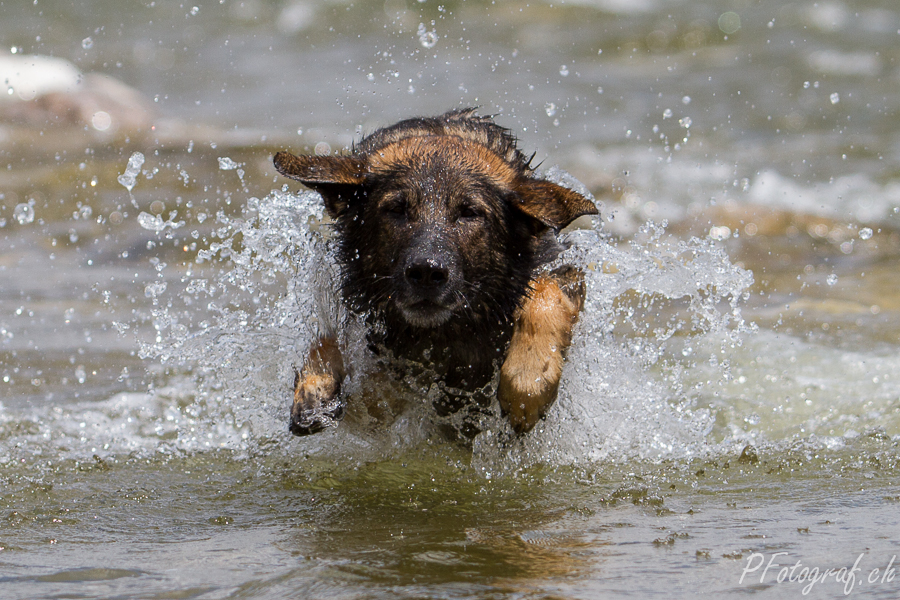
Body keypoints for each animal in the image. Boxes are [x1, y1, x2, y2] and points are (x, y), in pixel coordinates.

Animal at [274, 108, 596, 438]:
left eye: (469, 212)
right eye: (397, 208)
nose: (427, 272)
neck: (445, 334)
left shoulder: (563, 271)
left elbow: (545, 293)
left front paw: (528, 381)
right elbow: (330, 346)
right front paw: (316, 387)